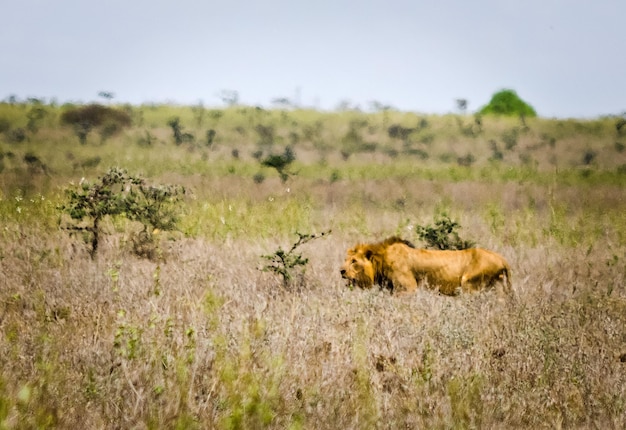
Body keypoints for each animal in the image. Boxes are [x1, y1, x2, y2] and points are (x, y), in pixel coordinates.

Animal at [338, 235, 510, 296]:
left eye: (354, 261)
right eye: (346, 260)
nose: (341, 271)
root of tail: (502, 259)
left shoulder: (408, 288)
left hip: (469, 284)